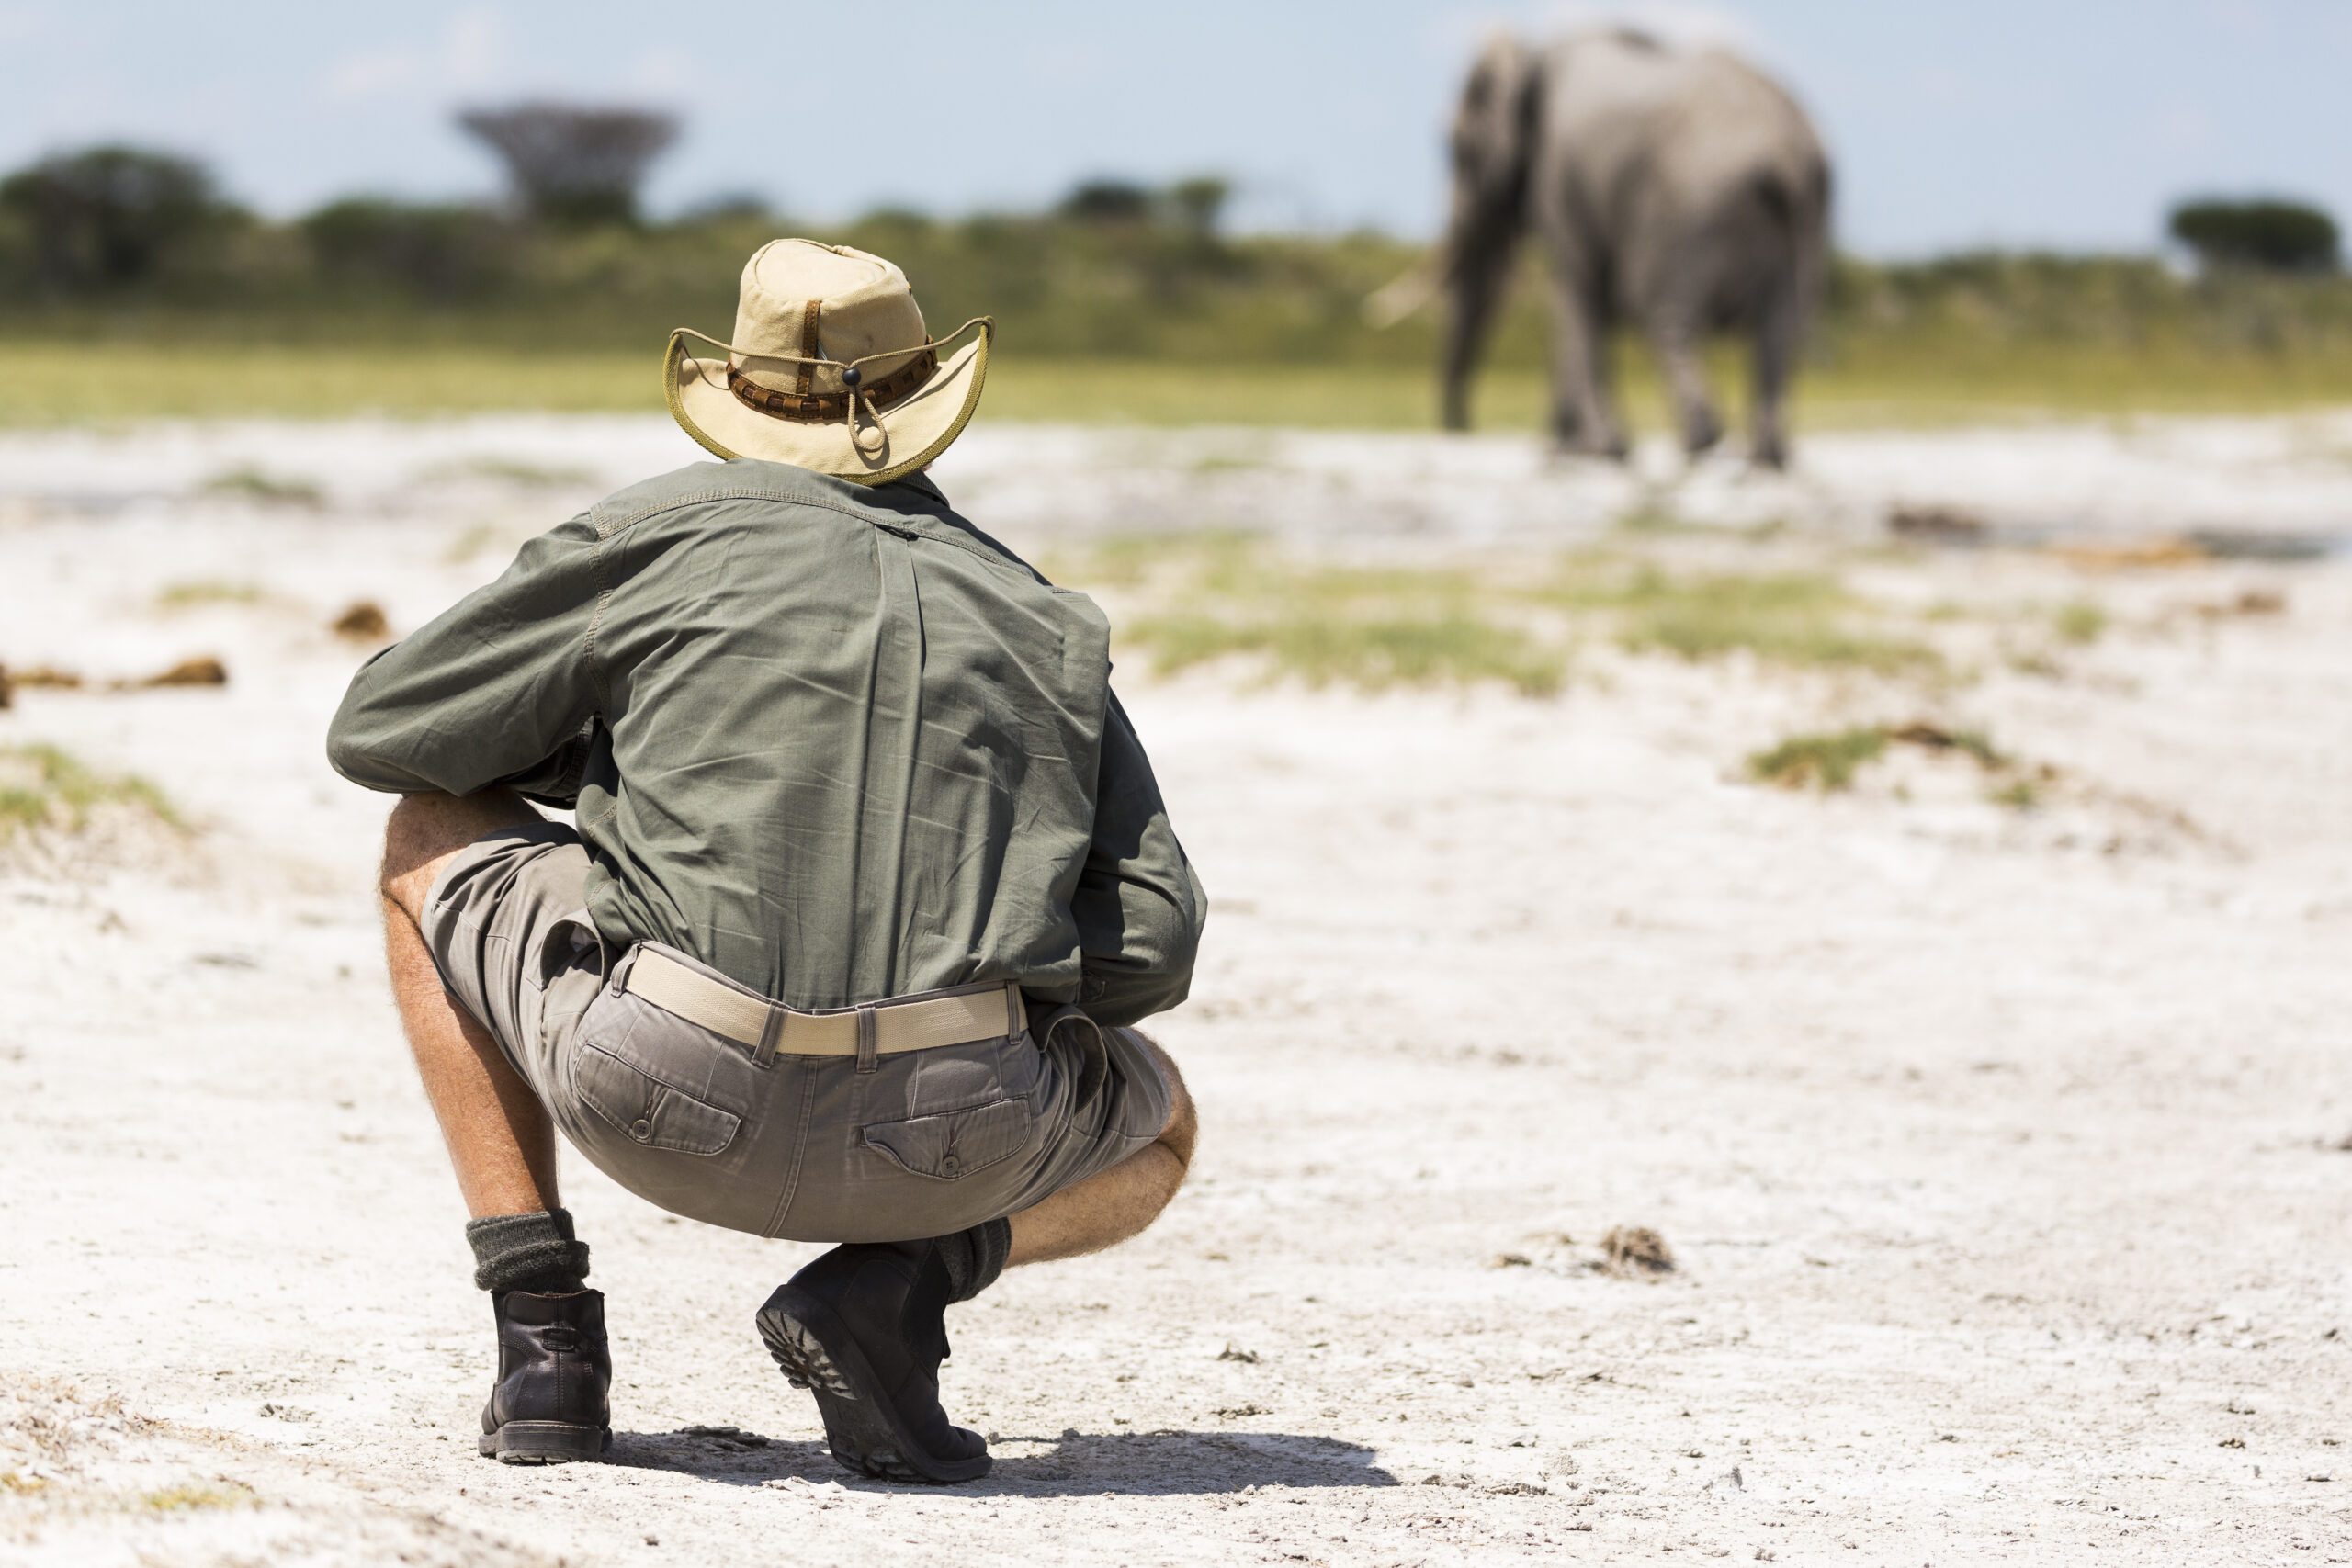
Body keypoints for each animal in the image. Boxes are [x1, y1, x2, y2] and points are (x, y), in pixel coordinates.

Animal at [1392, 30, 1830, 468]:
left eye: (1460, 148)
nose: (1460, 428)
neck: (1534, 55)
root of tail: (1787, 157)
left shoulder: (1559, 179)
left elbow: (1575, 291)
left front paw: (1590, 449)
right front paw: (1580, 446)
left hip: (1692, 210)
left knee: (1664, 316)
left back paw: (1698, 441)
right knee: (1778, 333)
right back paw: (1765, 455)